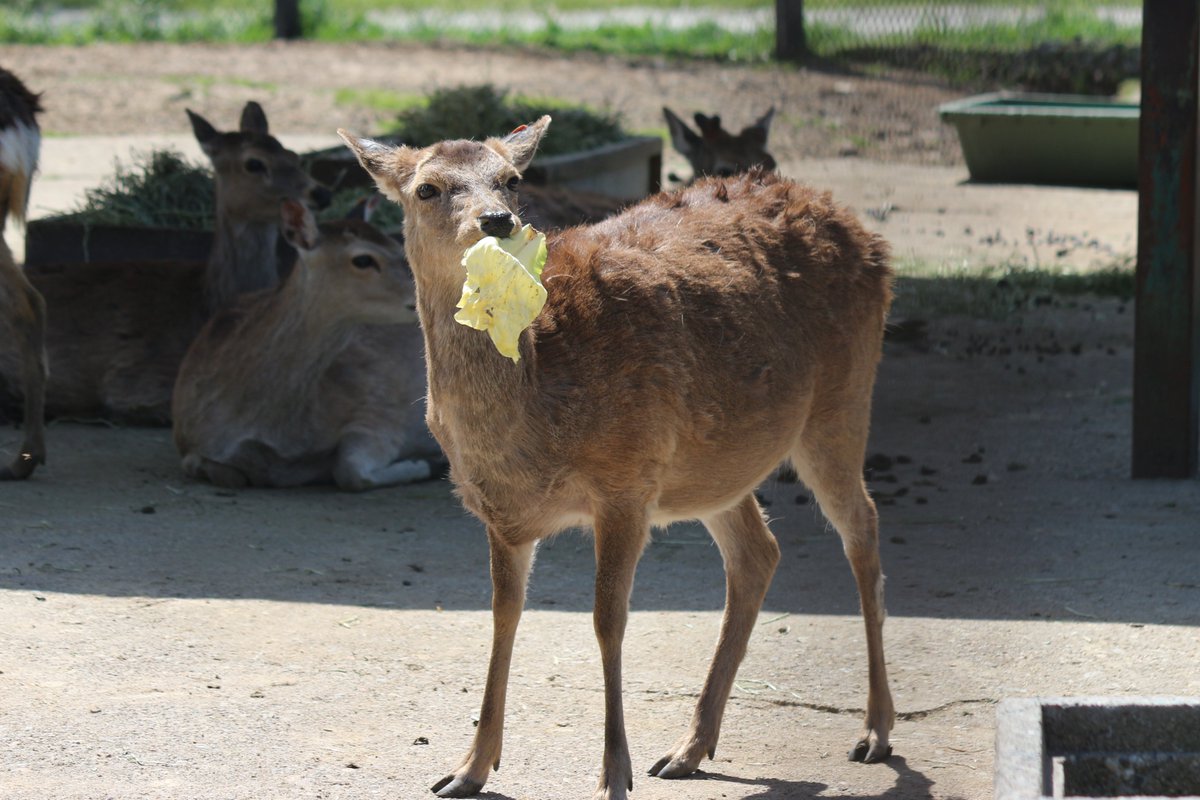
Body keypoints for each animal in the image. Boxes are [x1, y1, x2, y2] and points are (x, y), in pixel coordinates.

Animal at [174, 196, 441, 491]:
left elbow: (350, 471)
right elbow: (222, 473)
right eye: (362, 259)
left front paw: (425, 464)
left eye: (397, 246)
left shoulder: (381, 407)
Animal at [338, 113, 892, 800]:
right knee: (758, 552)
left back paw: (875, 732)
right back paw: (689, 748)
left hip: (840, 400)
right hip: (714, 465)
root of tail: (865, 233)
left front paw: (613, 775)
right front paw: (467, 768)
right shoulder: (503, 513)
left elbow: (608, 619)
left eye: (512, 179)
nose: (497, 220)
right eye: (427, 189)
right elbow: (502, 614)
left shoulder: (626, 479)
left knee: (861, 526)